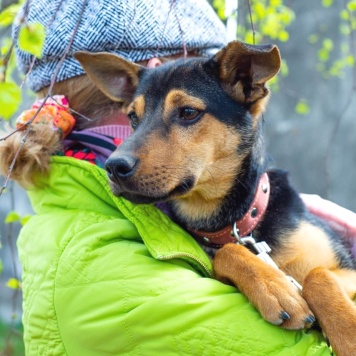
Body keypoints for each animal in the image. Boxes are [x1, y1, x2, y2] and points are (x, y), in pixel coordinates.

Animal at [74, 41, 356, 354]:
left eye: (188, 112)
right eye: (134, 118)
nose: (114, 166)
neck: (236, 223)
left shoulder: (347, 270)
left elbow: (317, 275)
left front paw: (348, 334)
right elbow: (227, 253)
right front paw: (274, 287)